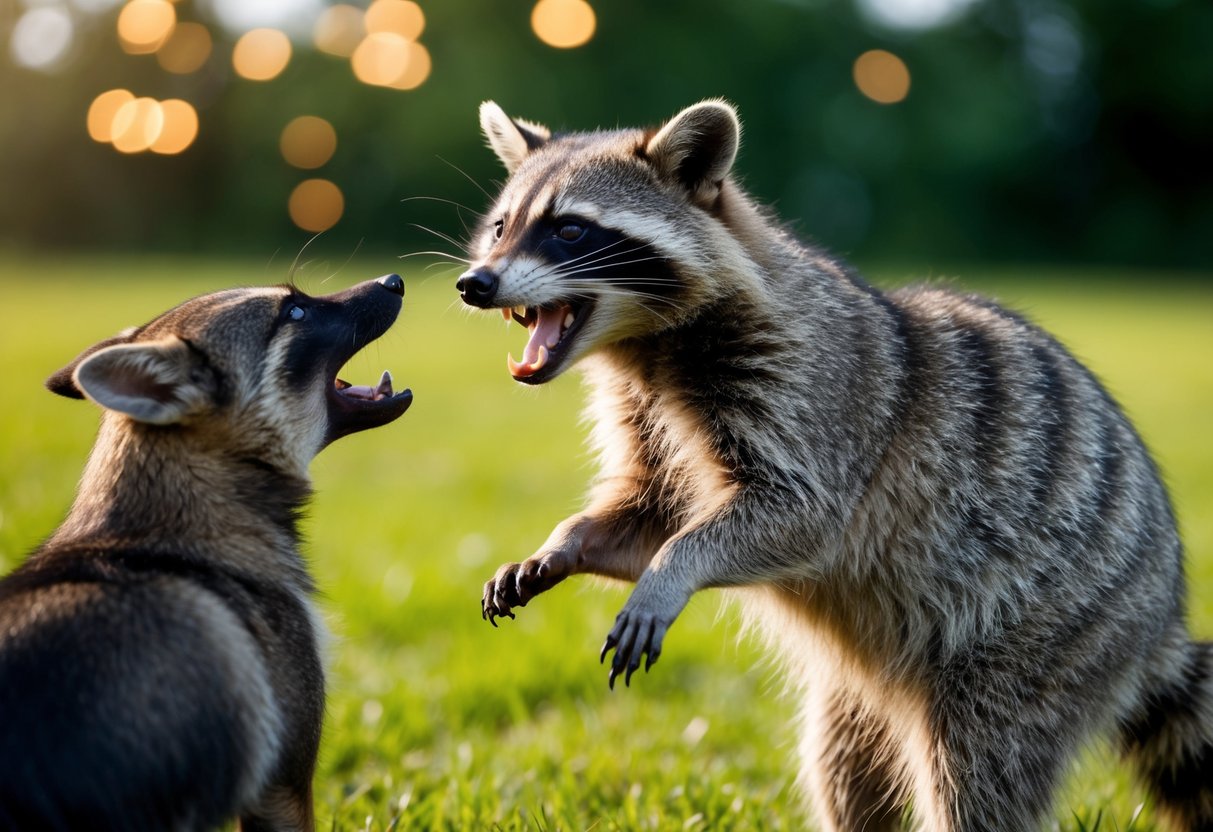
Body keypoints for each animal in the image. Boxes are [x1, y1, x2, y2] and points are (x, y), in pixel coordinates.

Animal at [459, 101, 1213, 831]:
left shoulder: (810, 391)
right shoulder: (644, 414)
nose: (474, 283)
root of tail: (1161, 624)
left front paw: (673, 568)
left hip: (1045, 638)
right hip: (862, 692)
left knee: (977, 766)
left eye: (569, 230)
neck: (643, 346)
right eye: (500, 226)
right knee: (842, 766)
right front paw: (565, 543)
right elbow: (646, 515)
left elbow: (799, 516)